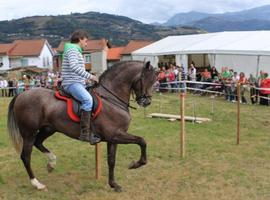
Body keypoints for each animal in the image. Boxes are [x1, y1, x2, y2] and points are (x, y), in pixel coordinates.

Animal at [6, 60, 156, 192]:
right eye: (145, 79)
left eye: (154, 81)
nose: (146, 102)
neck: (111, 98)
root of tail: (21, 95)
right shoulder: (115, 135)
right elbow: (142, 141)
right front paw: (136, 164)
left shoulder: (113, 139)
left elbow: (111, 160)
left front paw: (114, 185)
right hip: (28, 133)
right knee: (26, 156)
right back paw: (37, 184)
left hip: (48, 129)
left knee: (38, 142)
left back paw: (51, 163)